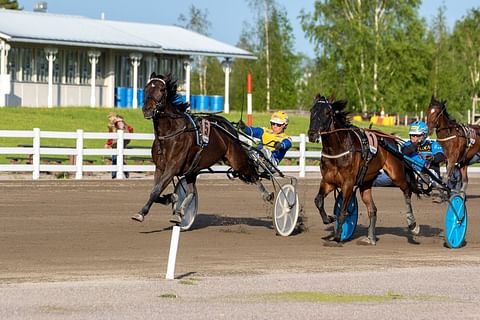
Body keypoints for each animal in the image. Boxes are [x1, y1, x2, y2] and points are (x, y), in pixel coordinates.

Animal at [131, 72, 272, 222]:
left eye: (162, 89)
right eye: (146, 88)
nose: (147, 110)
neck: (170, 133)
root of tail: (228, 125)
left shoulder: (172, 167)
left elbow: (156, 190)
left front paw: (141, 212)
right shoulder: (160, 167)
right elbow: (155, 190)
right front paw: (171, 197)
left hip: (236, 159)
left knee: (252, 172)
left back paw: (267, 194)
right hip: (194, 168)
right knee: (191, 192)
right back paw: (181, 211)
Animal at [308, 95, 420, 245]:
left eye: (327, 112)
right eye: (312, 111)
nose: (312, 134)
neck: (338, 150)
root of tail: (389, 139)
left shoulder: (348, 184)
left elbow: (343, 211)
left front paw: (338, 236)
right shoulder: (328, 181)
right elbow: (318, 201)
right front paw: (329, 219)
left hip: (396, 174)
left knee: (407, 190)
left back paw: (412, 224)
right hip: (365, 183)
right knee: (372, 209)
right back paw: (370, 238)